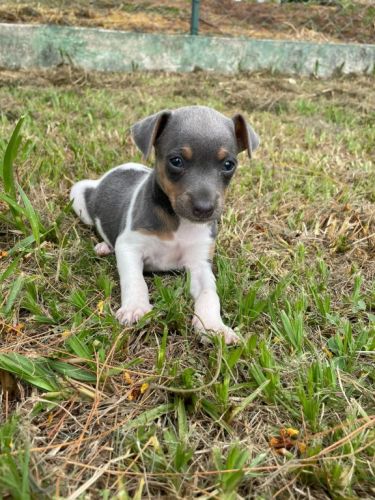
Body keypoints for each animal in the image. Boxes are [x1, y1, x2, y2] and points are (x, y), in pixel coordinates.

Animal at [70, 106, 258, 344]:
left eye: (228, 165)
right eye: (176, 161)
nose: (204, 209)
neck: (179, 222)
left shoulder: (199, 263)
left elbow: (210, 294)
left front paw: (214, 327)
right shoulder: (130, 246)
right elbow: (135, 280)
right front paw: (136, 308)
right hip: (78, 195)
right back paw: (104, 246)